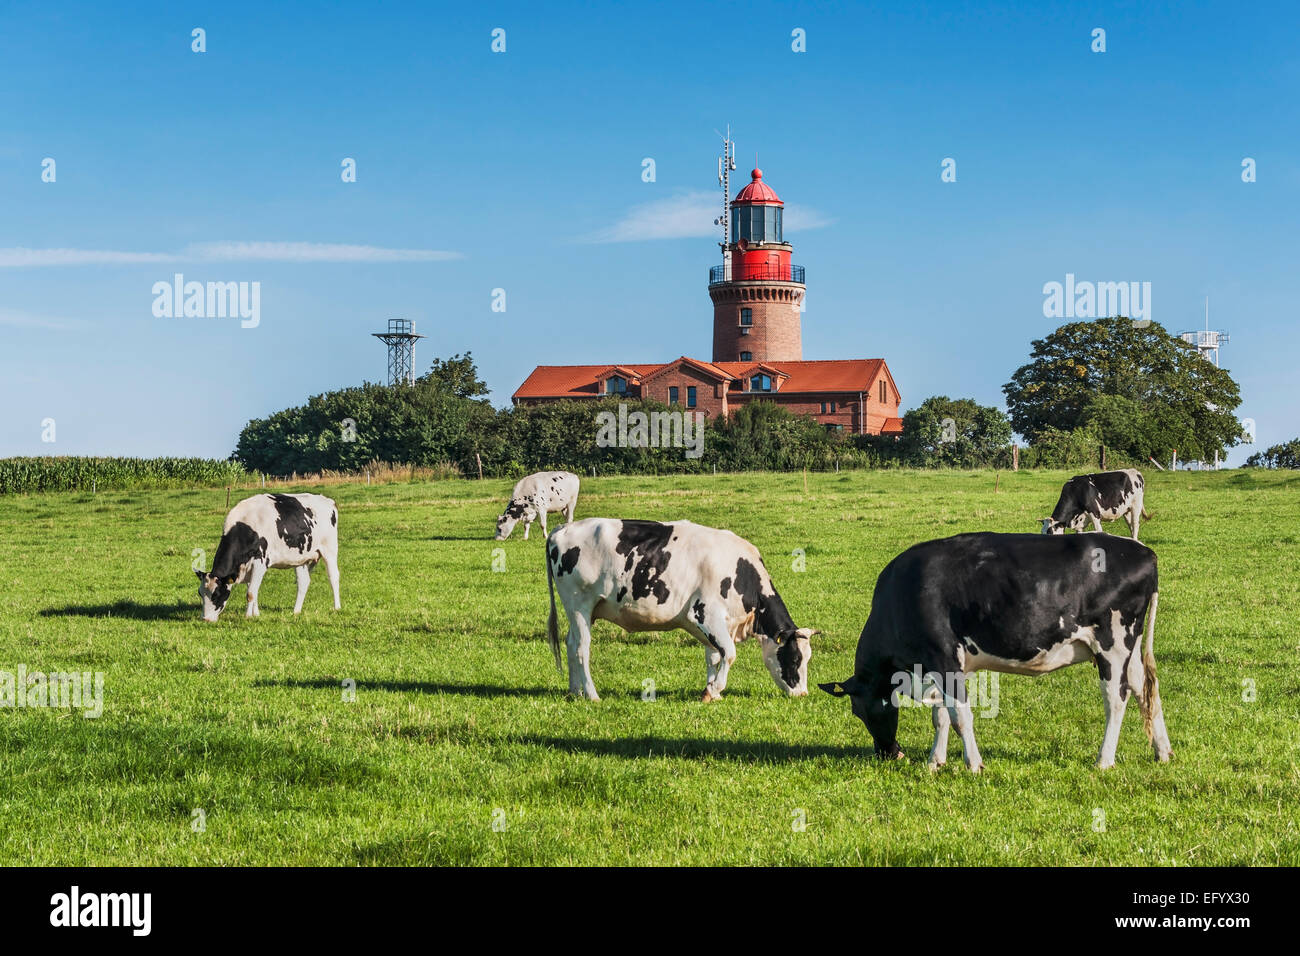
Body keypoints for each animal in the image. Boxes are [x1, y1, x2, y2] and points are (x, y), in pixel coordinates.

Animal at [195, 494, 340, 621]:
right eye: (200, 593)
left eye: (217, 594)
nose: (205, 619)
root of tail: (328, 500)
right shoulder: (248, 566)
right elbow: (253, 589)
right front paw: (256, 614)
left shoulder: (260, 561)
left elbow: (250, 593)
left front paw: (248, 616)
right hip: (301, 558)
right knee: (303, 582)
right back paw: (296, 611)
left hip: (330, 550)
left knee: (333, 577)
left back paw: (337, 608)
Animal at [543, 515, 816, 702]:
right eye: (795, 658)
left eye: (807, 658)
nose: (802, 694)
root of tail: (563, 529)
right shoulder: (705, 614)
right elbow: (728, 653)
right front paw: (715, 689)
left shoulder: (718, 624)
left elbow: (713, 655)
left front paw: (711, 691)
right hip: (579, 604)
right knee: (582, 648)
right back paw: (591, 694)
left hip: (583, 612)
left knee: (570, 644)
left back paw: (574, 691)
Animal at [816, 535, 1175, 775]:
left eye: (859, 711)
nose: (889, 754)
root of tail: (1144, 551)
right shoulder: (944, 665)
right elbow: (941, 715)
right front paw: (935, 761)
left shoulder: (943, 658)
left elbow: (961, 716)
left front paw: (973, 764)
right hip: (1129, 646)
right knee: (1145, 688)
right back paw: (1163, 752)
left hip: (1112, 643)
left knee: (1117, 698)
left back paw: (1103, 760)